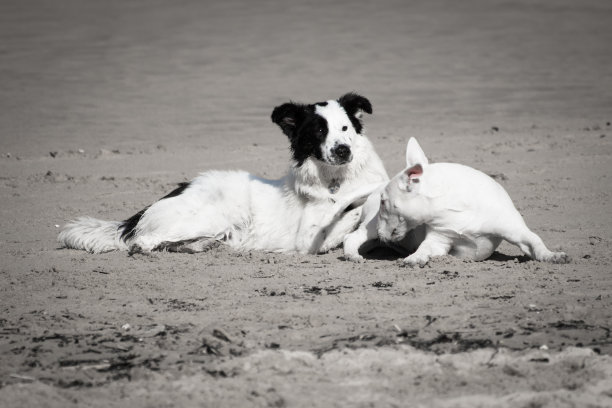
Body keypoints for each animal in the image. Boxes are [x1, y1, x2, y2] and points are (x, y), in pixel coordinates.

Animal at [61, 92, 388, 255]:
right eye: (319, 131)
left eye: (345, 128)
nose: (343, 151)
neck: (337, 180)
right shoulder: (308, 237)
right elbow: (349, 215)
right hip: (211, 214)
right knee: (142, 243)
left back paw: (204, 244)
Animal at [344, 137, 568, 264]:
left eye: (384, 202)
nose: (383, 235)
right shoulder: (440, 239)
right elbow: (425, 248)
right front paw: (414, 258)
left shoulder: (515, 230)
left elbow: (535, 241)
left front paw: (553, 256)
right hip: (370, 227)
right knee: (352, 238)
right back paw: (353, 255)